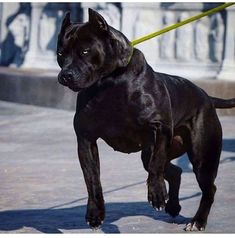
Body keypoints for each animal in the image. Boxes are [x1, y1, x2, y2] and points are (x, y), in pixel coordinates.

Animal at [56, 8, 235, 231]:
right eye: (60, 54)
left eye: (85, 51)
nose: (65, 75)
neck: (110, 82)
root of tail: (206, 96)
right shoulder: (86, 140)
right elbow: (92, 180)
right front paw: (95, 213)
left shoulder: (160, 127)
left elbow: (156, 164)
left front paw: (157, 193)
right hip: (152, 152)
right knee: (176, 171)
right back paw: (173, 206)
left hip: (203, 157)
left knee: (208, 188)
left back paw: (197, 221)